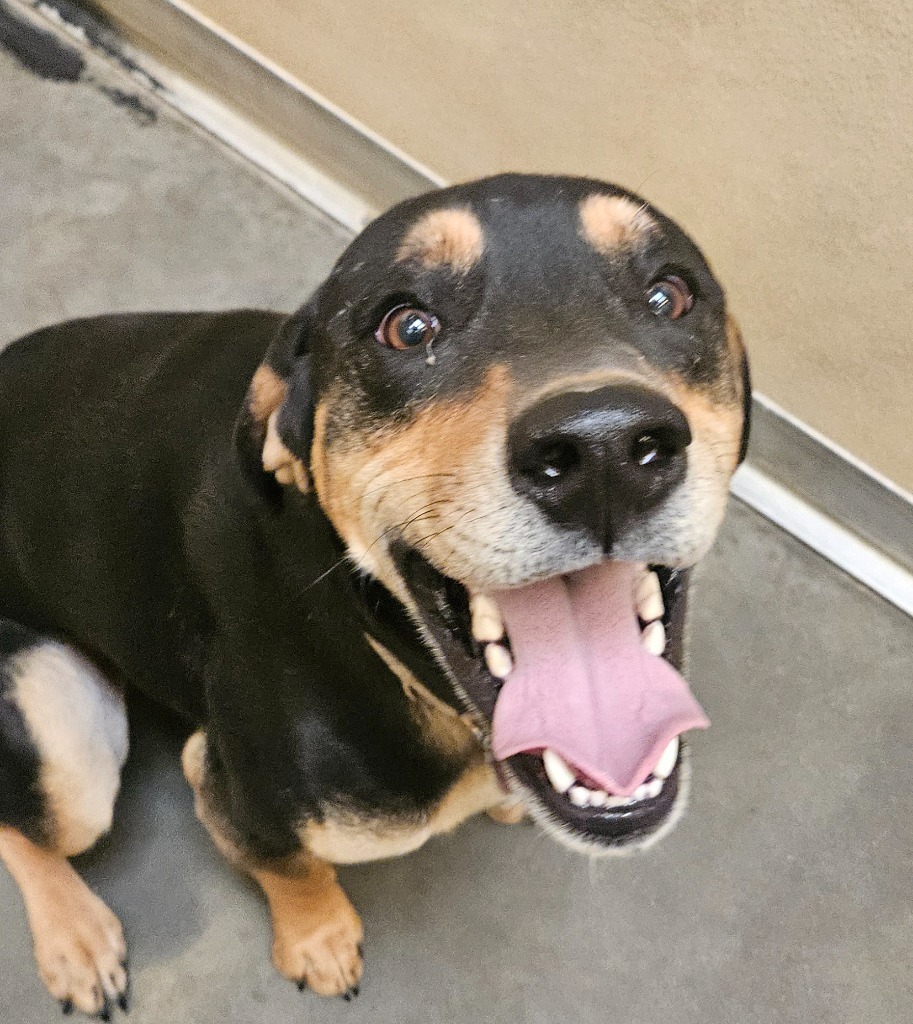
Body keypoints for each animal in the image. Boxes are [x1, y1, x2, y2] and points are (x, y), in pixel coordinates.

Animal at [0, 176, 749, 1015]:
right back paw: (75, 938)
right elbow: (290, 866)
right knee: (20, 823)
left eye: (669, 295)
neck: (376, 634)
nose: (604, 449)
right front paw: (317, 937)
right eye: (406, 325)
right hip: (65, 741)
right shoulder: (233, 786)